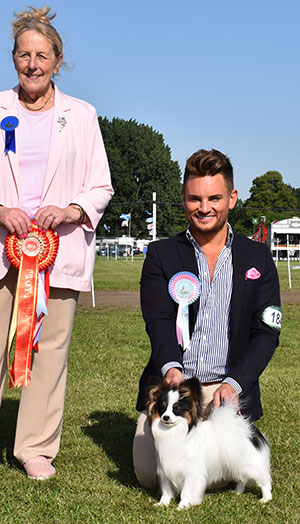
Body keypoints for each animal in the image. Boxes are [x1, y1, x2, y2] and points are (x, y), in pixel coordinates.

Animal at [148, 378, 272, 510]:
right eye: (162, 408)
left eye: (176, 409)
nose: (165, 417)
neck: (175, 432)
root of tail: (251, 430)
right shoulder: (165, 470)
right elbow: (166, 491)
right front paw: (162, 504)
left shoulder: (192, 473)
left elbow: (187, 491)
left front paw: (183, 506)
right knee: (242, 479)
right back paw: (237, 492)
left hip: (250, 464)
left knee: (264, 481)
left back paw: (266, 498)